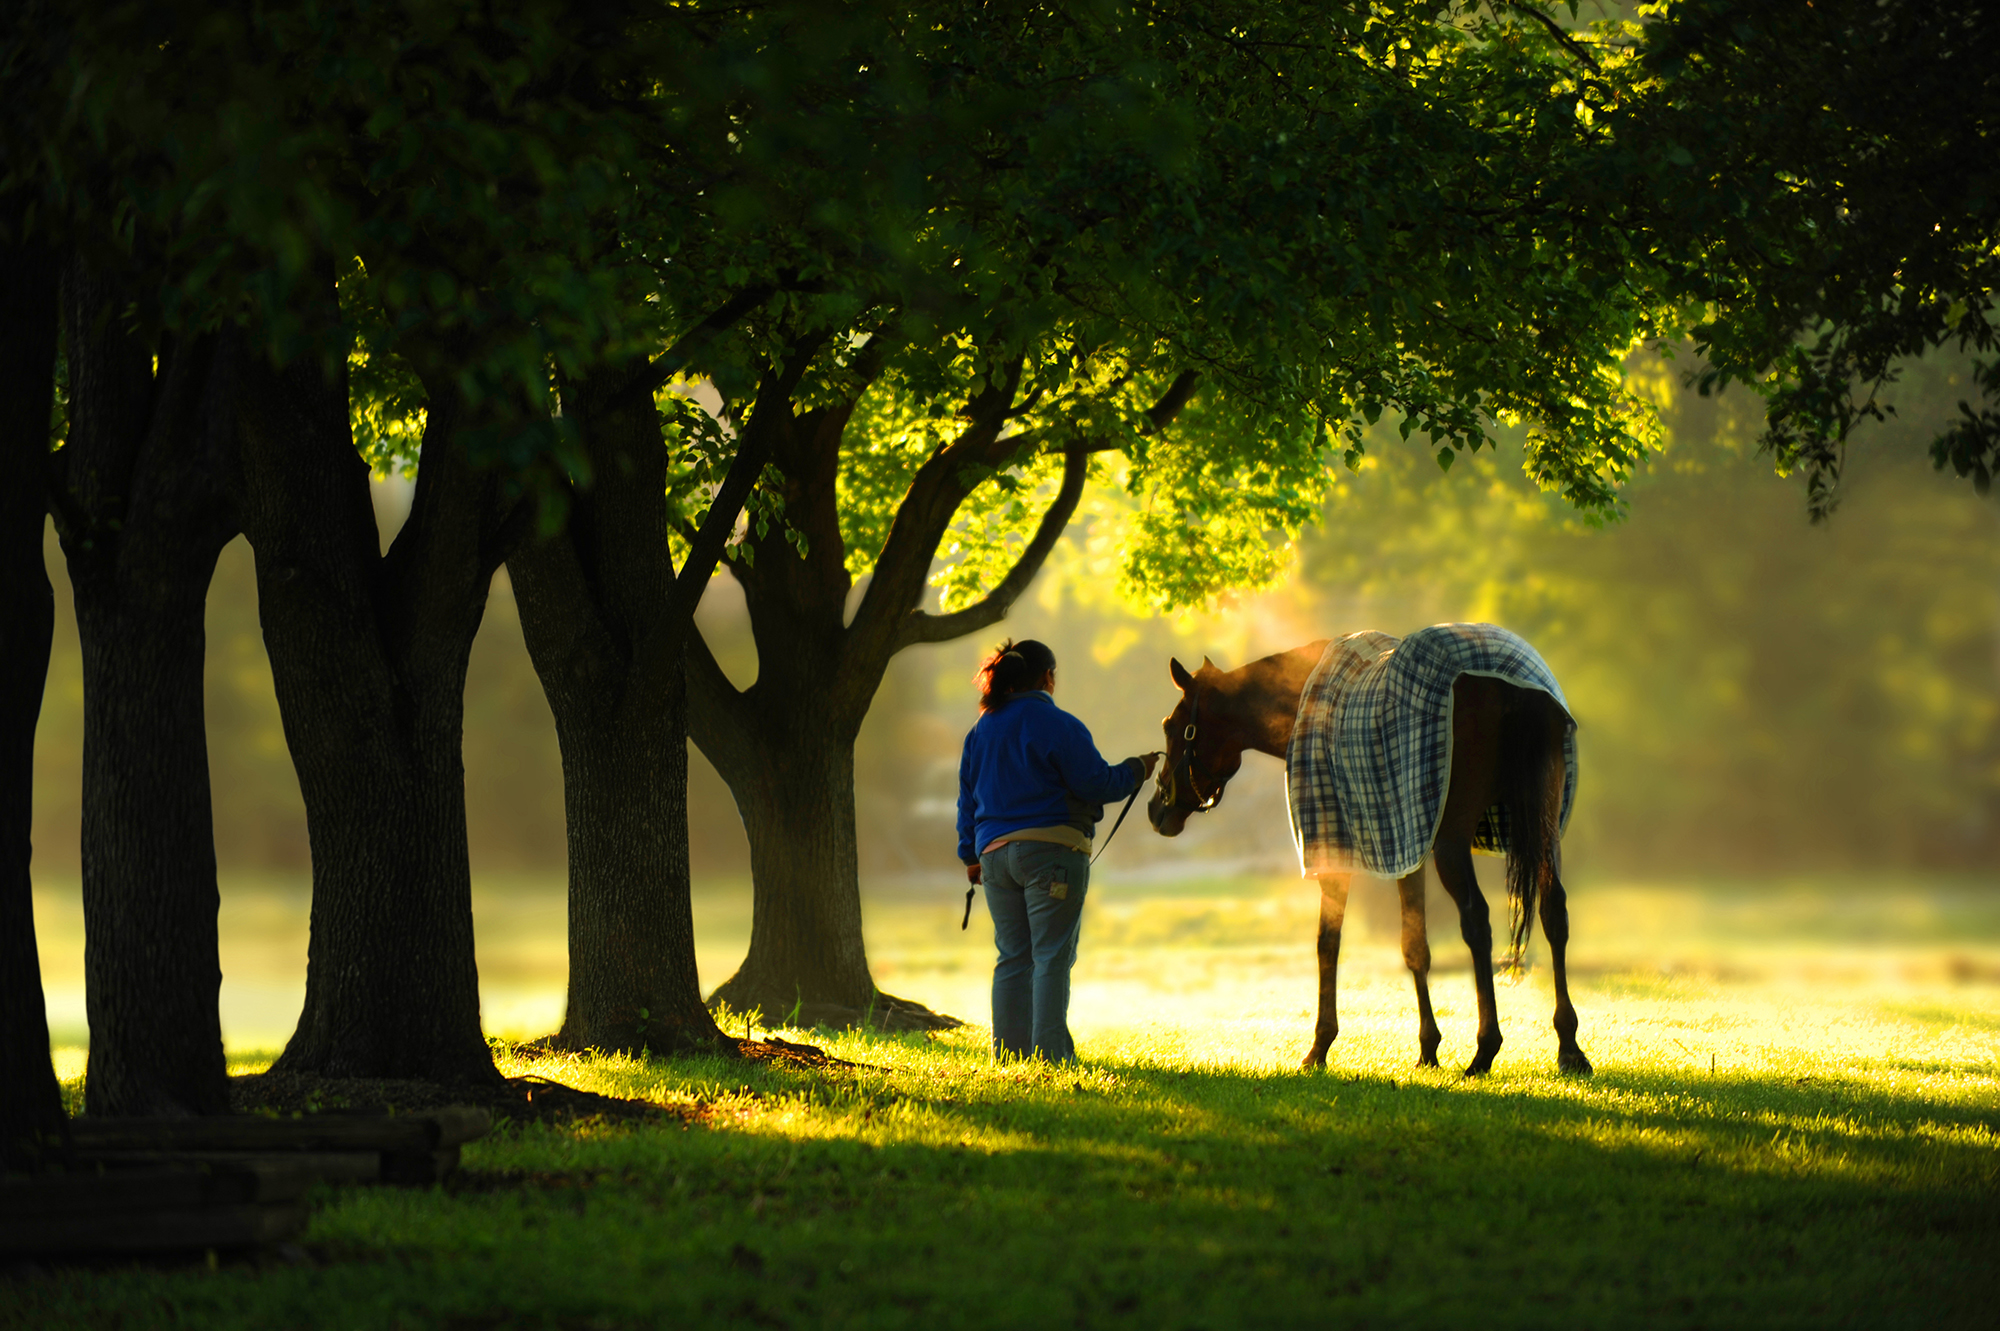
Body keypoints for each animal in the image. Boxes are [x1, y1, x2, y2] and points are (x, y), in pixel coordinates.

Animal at [1144, 635, 1592, 1079]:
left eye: (1171, 726)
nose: (1156, 809)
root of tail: (1511, 686)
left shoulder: (1335, 852)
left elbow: (1327, 942)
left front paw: (1319, 1047)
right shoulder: (1407, 847)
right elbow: (1414, 946)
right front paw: (1428, 1049)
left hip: (1454, 845)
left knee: (1477, 922)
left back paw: (1486, 1049)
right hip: (1543, 830)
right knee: (1554, 913)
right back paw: (1569, 1047)